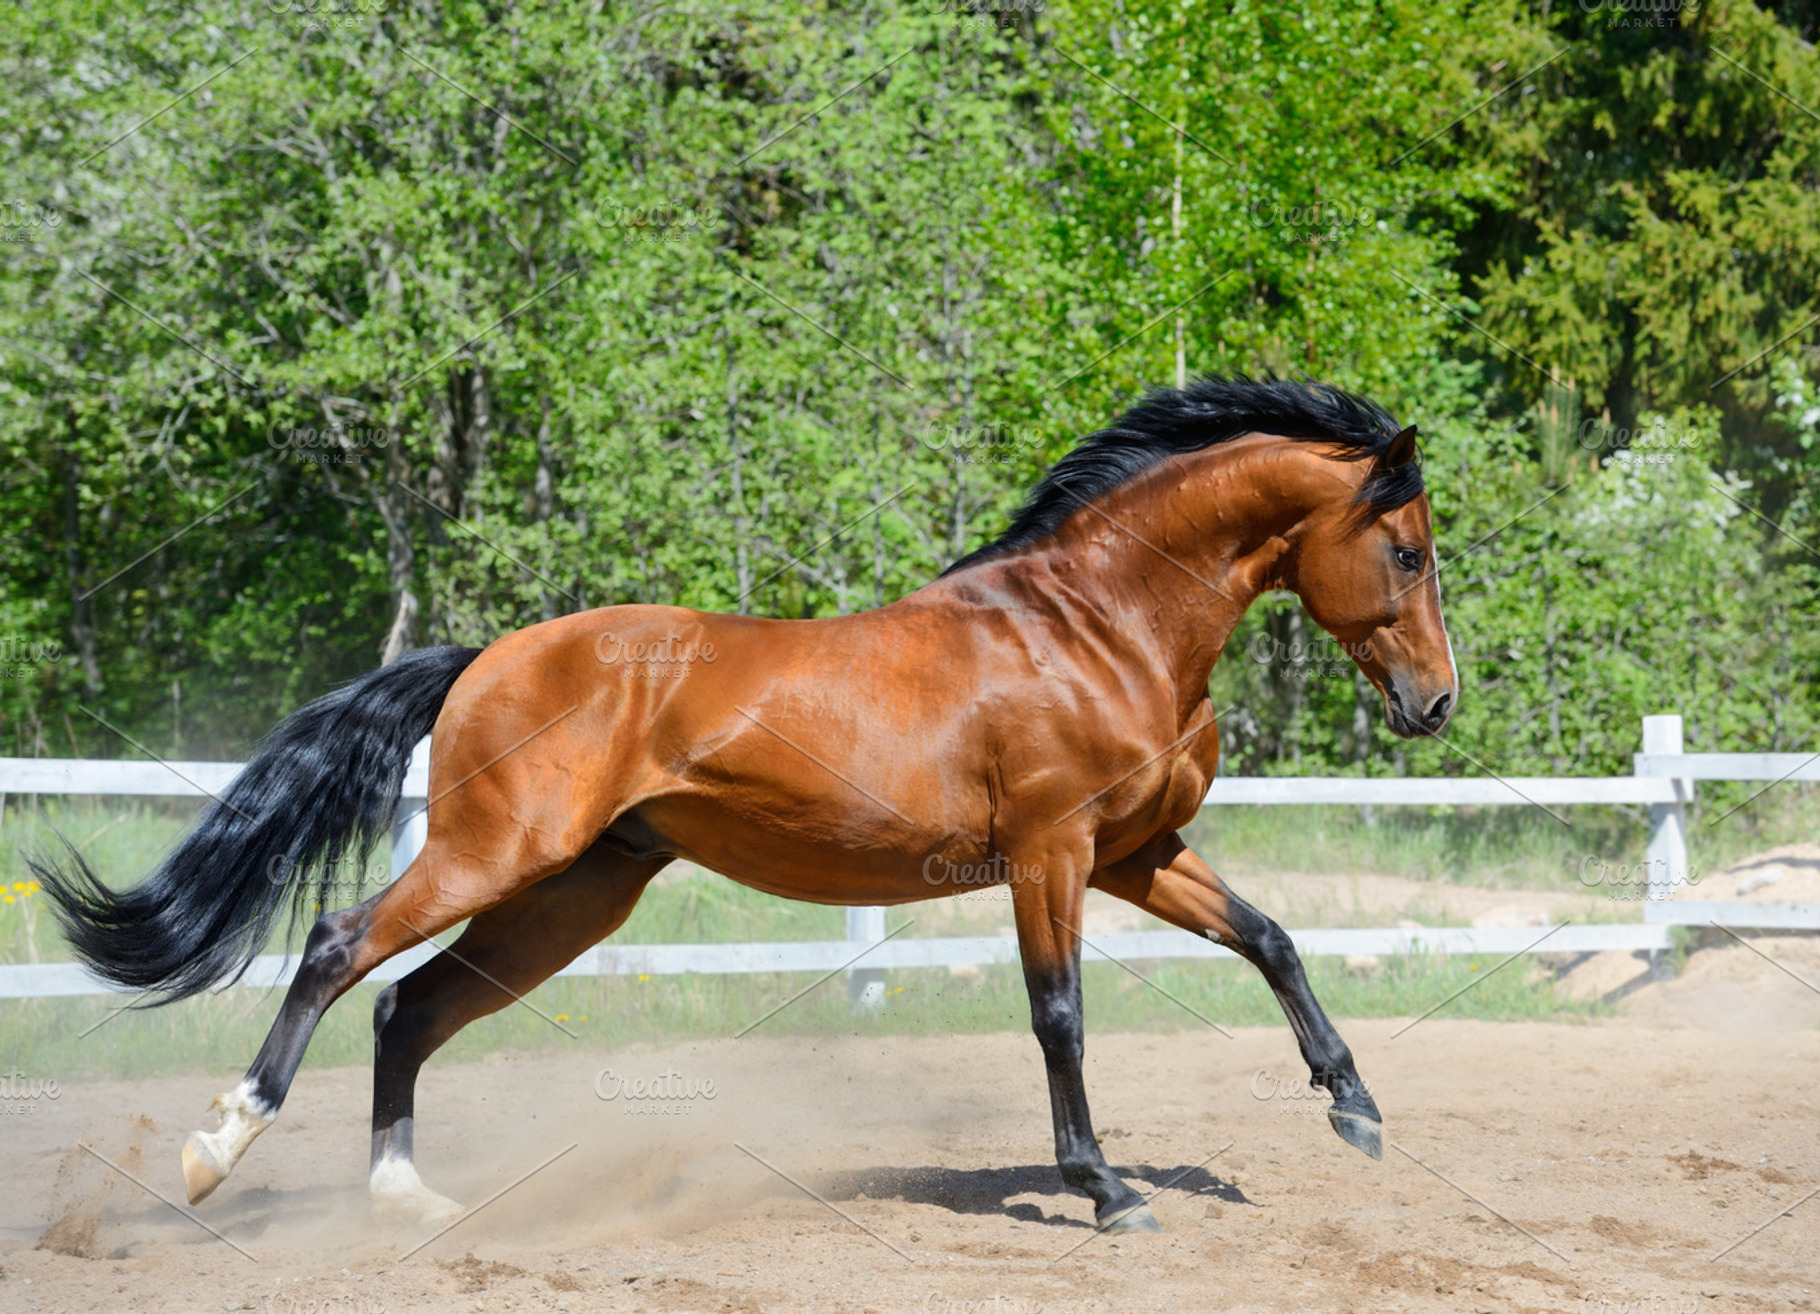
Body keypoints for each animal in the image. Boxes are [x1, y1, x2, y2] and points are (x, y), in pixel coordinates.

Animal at [35, 376, 1456, 1230]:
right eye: (1404, 550)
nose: (1434, 705)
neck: (1093, 629)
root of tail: (488, 656)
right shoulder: (1051, 854)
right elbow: (1058, 1016)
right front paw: (1104, 1189)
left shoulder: (1137, 850)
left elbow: (1270, 938)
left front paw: (1355, 1114)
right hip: (500, 855)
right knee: (340, 953)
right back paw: (222, 1146)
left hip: (577, 892)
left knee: (412, 1005)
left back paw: (410, 1200)